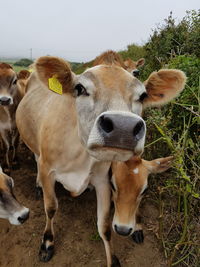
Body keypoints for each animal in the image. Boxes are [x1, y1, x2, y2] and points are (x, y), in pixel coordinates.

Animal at [15, 50, 186, 267]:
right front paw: (47, 243)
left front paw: (112, 259)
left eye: (142, 96)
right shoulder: (48, 170)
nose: (122, 128)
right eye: (80, 88)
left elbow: (104, 226)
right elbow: (51, 208)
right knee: (37, 159)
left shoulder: (102, 180)